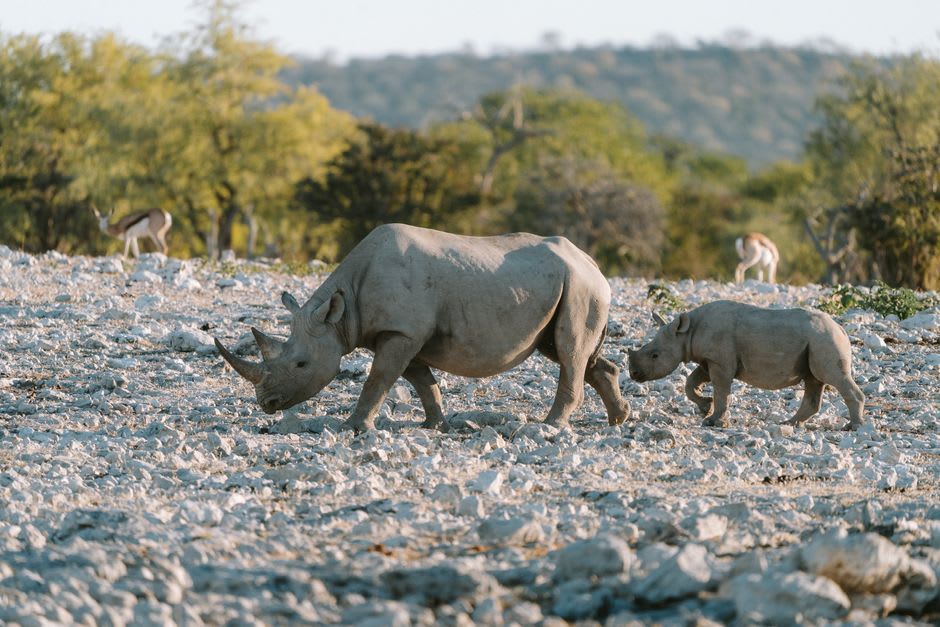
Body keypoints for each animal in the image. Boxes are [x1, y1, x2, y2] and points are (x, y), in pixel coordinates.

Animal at [215, 223, 630, 432]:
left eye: (301, 365)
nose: (266, 404)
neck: (342, 312)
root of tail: (592, 263)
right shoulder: (404, 333)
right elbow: (420, 380)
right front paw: (434, 424)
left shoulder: (401, 331)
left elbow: (379, 379)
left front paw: (354, 427)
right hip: (568, 286)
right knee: (570, 352)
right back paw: (618, 419)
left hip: (580, 287)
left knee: (570, 351)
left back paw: (549, 427)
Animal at [627, 300, 866, 430]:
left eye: (655, 355)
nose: (633, 374)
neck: (686, 333)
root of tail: (841, 329)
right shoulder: (708, 360)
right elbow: (691, 383)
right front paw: (705, 407)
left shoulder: (720, 361)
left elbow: (721, 390)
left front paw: (712, 421)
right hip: (818, 341)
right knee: (814, 380)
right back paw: (789, 424)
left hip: (824, 339)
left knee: (831, 376)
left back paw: (852, 427)